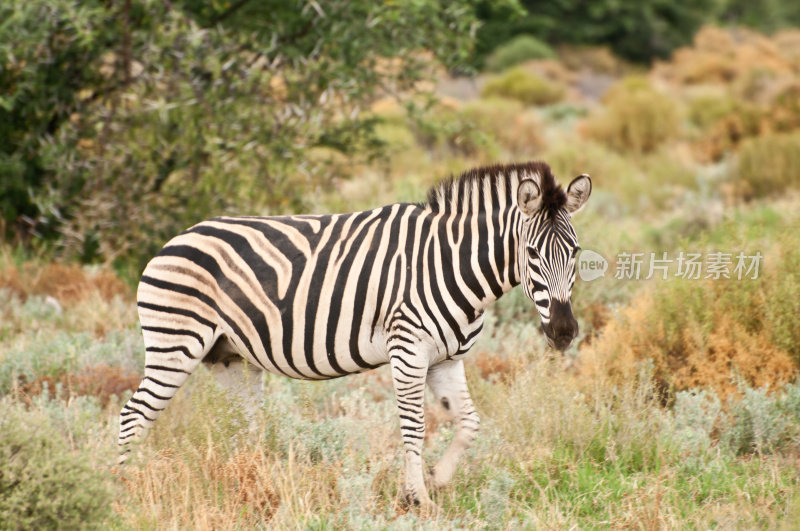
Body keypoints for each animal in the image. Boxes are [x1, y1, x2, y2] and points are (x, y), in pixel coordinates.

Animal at [117, 160, 588, 512]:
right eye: (531, 253)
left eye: (577, 252)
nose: (564, 332)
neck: (451, 262)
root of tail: (173, 240)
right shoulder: (408, 350)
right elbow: (415, 427)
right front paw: (417, 498)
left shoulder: (447, 358)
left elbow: (469, 423)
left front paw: (437, 478)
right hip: (176, 344)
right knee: (133, 416)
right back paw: (124, 490)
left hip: (231, 358)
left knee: (240, 426)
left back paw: (248, 484)